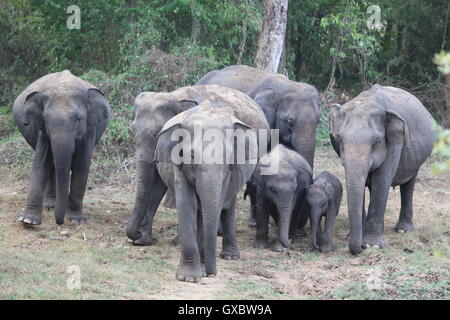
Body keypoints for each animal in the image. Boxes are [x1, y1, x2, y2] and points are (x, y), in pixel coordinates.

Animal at [11, 70, 110, 225]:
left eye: (78, 119)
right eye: (45, 119)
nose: (59, 222)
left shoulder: (90, 129)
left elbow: (82, 165)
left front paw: (75, 219)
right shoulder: (42, 131)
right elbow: (40, 163)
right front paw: (27, 221)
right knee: (52, 166)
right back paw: (50, 206)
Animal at [125, 84, 268, 245]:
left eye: (157, 133)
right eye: (132, 130)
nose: (136, 234)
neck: (173, 96)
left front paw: (176, 241)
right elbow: (159, 184)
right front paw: (143, 240)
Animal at [155, 100, 268, 282]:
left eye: (228, 156)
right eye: (192, 155)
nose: (211, 273)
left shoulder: (228, 173)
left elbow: (215, 203)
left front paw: (200, 271)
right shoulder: (178, 166)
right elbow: (187, 203)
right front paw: (189, 277)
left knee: (227, 207)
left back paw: (230, 256)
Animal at [328, 84, 438, 255]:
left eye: (375, 142)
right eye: (340, 140)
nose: (358, 249)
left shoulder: (396, 138)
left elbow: (382, 179)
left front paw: (371, 245)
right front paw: (352, 237)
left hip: (417, 159)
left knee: (409, 183)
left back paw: (403, 230)